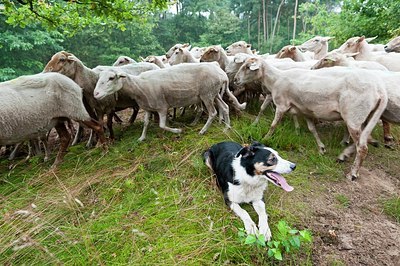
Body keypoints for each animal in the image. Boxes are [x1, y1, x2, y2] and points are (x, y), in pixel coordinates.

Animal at [93, 62, 231, 141]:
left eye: (111, 78)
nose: (95, 94)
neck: (139, 87)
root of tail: (222, 74)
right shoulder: (148, 107)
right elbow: (146, 123)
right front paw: (142, 137)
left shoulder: (162, 107)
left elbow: (162, 125)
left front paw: (178, 131)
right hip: (214, 93)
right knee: (225, 107)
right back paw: (227, 128)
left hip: (207, 94)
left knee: (213, 113)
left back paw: (203, 131)